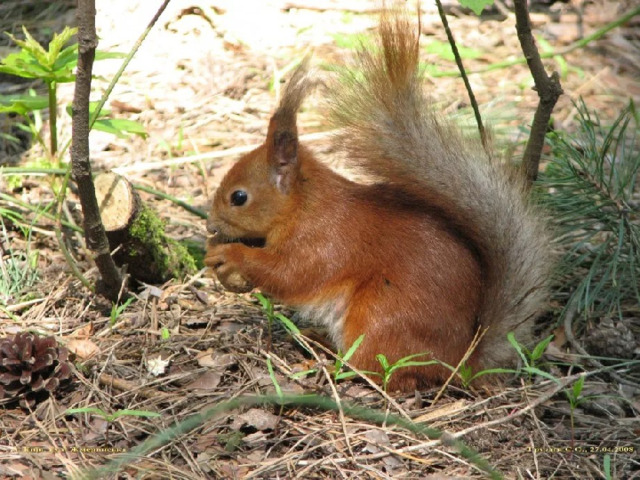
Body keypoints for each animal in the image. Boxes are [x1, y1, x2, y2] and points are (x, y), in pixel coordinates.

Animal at [205, 11, 552, 392]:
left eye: (239, 197)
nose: (210, 225)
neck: (305, 205)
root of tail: (461, 361)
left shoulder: (323, 241)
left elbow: (289, 274)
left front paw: (231, 255)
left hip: (380, 314)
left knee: (375, 371)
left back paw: (328, 362)